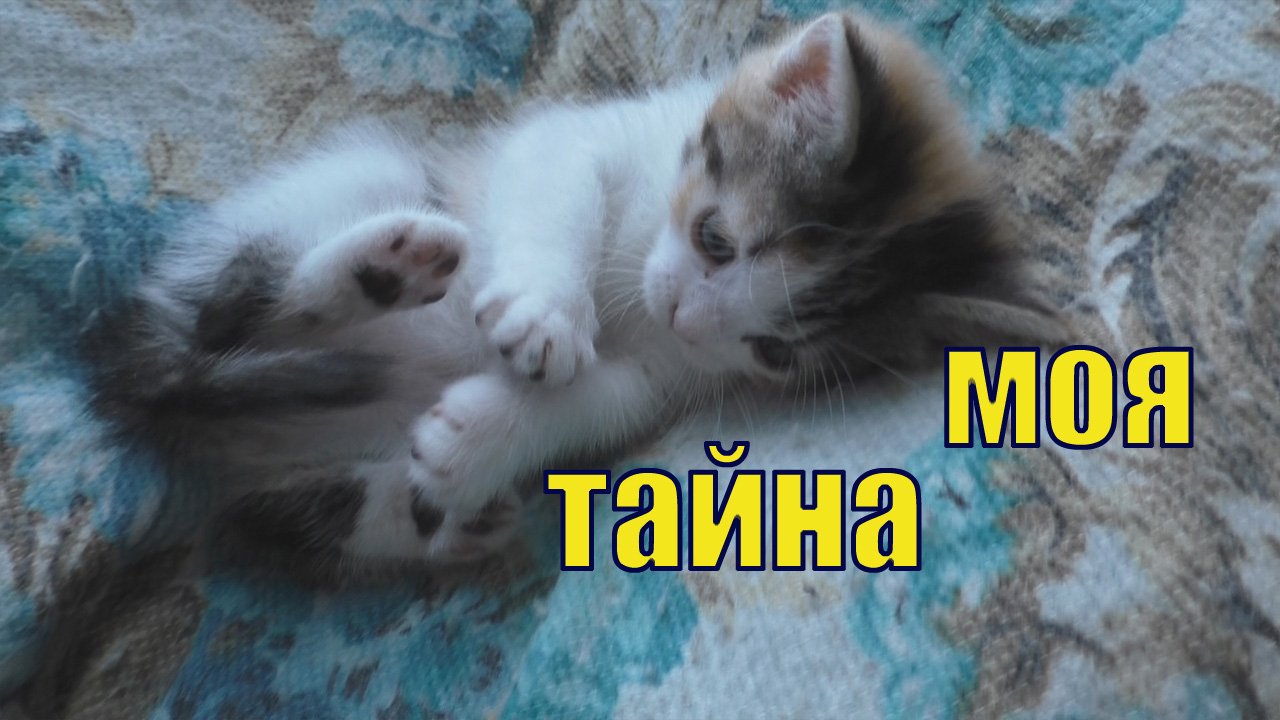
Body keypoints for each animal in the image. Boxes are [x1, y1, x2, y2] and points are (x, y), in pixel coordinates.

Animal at [90, 11, 1055, 574]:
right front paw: (547, 313)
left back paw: (431, 513)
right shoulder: (580, 136)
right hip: (363, 183)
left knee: (286, 506)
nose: (687, 316)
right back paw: (384, 269)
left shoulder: (672, 374)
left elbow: (603, 399)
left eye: (773, 350)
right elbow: (562, 185)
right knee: (230, 308)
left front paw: (477, 443)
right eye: (715, 239)